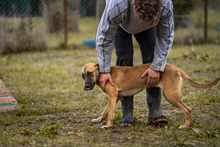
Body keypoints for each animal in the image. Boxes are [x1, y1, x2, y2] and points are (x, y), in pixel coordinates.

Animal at [81, 63, 220, 129]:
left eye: (90, 73)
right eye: (83, 75)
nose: (86, 86)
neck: (103, 73)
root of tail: (175, 68)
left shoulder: (112, 95)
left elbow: (110, 113)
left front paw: (108, 126)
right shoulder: (116, 97)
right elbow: (105, 112)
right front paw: (98, 120)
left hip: (170, 95)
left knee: (188, 110)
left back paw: (185, 126)